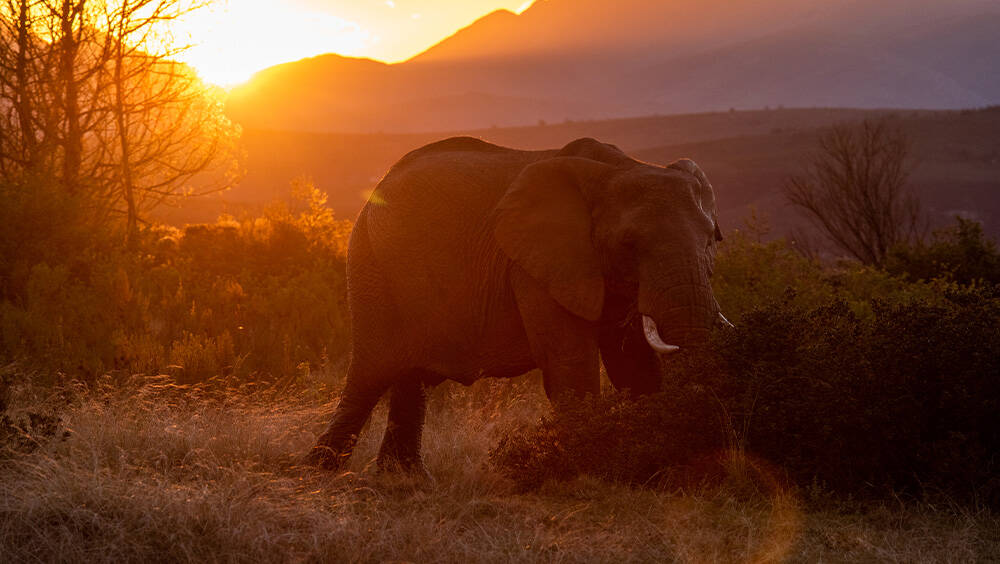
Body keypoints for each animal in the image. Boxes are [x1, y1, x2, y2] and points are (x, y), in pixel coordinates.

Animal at [304, 135, 728, 472]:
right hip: (371, 265)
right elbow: (570, 359)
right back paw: (318, 472)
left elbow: (634, 362)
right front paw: (589, 472)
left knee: (411, 376)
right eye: (629, 243)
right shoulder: (534, 266)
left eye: (712, 239)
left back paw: (404, 480)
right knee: (372, 372)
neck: (619, 168)